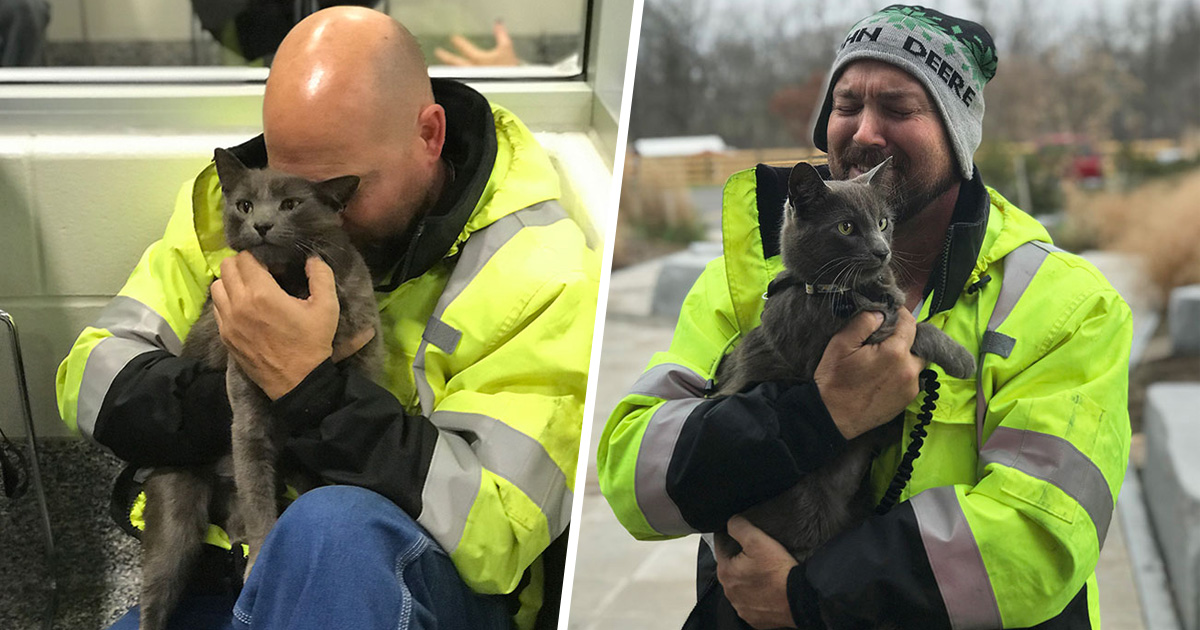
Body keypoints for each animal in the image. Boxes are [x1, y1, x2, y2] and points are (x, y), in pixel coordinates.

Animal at [139, 148, 384, 628]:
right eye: (245, 205)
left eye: (291, 204)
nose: (263, 224)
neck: (290, 284)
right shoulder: (246, 407)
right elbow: (257, 491)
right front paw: (259, 562)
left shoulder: (365, 347)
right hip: (176, 510)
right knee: (158, 590)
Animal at [710, 159, 974, 561]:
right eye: (846, 227)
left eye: (883, 222)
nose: (882, 251)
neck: (845, 291)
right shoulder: (836, 342)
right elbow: (916, 328)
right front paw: (962, 358)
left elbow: (907, 319)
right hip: (803, 509)